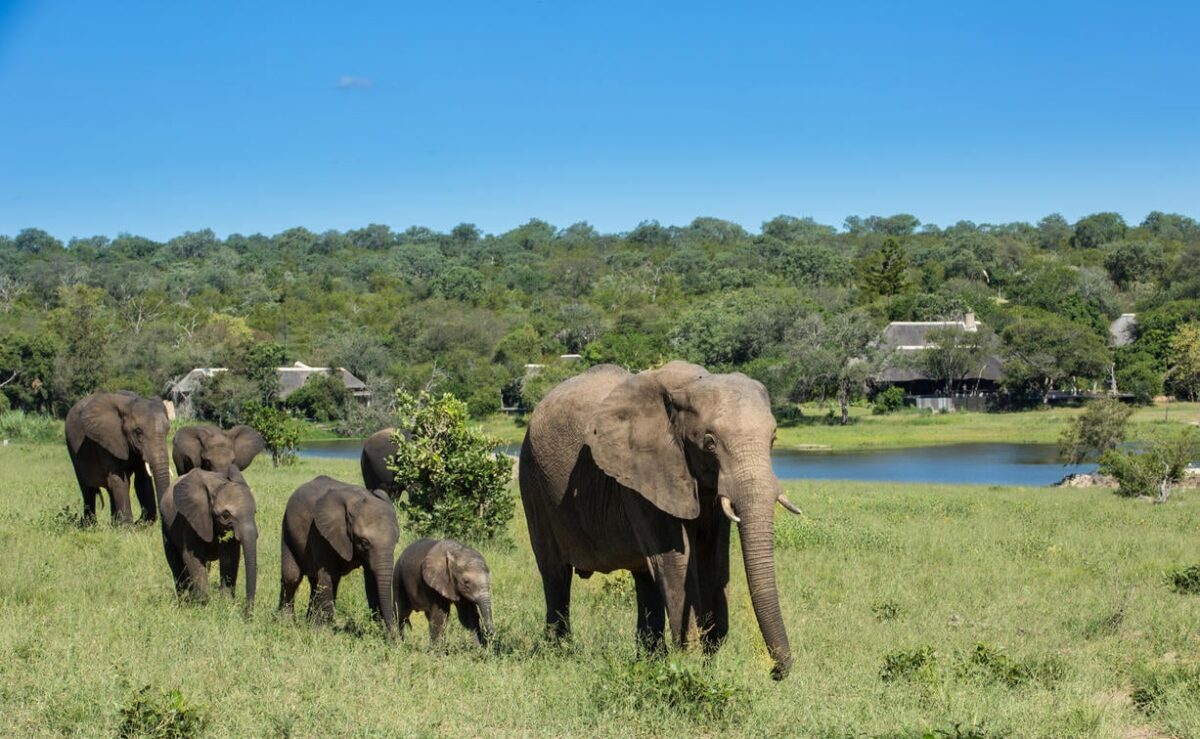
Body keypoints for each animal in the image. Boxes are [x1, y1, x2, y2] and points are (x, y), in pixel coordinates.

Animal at [66, 388, 174, 523]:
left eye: (168, 430)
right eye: (138, 431)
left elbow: (142, 479)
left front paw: (141, 523)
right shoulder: (106, 439)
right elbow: (119, 479)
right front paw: (128, 525)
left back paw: (114, 524)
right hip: (72, 448)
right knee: (87, 489)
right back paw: (90, 524)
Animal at [158, 470, 256, 609]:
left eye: (254, 513)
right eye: (225, 515)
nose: (247, 612)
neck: (217, 487)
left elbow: (229, 557)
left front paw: (225, 604)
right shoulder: (191, 519)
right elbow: (192, 557)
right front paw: (201, 605)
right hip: (166, 526)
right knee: (176, 563)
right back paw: (184, 601)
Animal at [278, 477, 400, 633]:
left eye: (396, 540)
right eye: (364, 542)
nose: (395, 636)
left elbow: (372, 579)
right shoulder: (321, 533)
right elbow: (328, 575)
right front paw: (323, 634)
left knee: (315, 581)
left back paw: (308, 624)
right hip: (287, 528)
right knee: (292, 577)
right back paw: (286, 624)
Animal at [513, 359, 796, 676]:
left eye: (773, 439)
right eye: (709, 443)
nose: (775, 672)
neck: (690, 385)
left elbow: (713, 560)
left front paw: (708, 664)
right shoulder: (644, 473)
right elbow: (675, 561)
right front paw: (691, 663)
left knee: (644, 577)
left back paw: (648, 660)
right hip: (533, 479)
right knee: (555, 573)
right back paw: (560, 653)